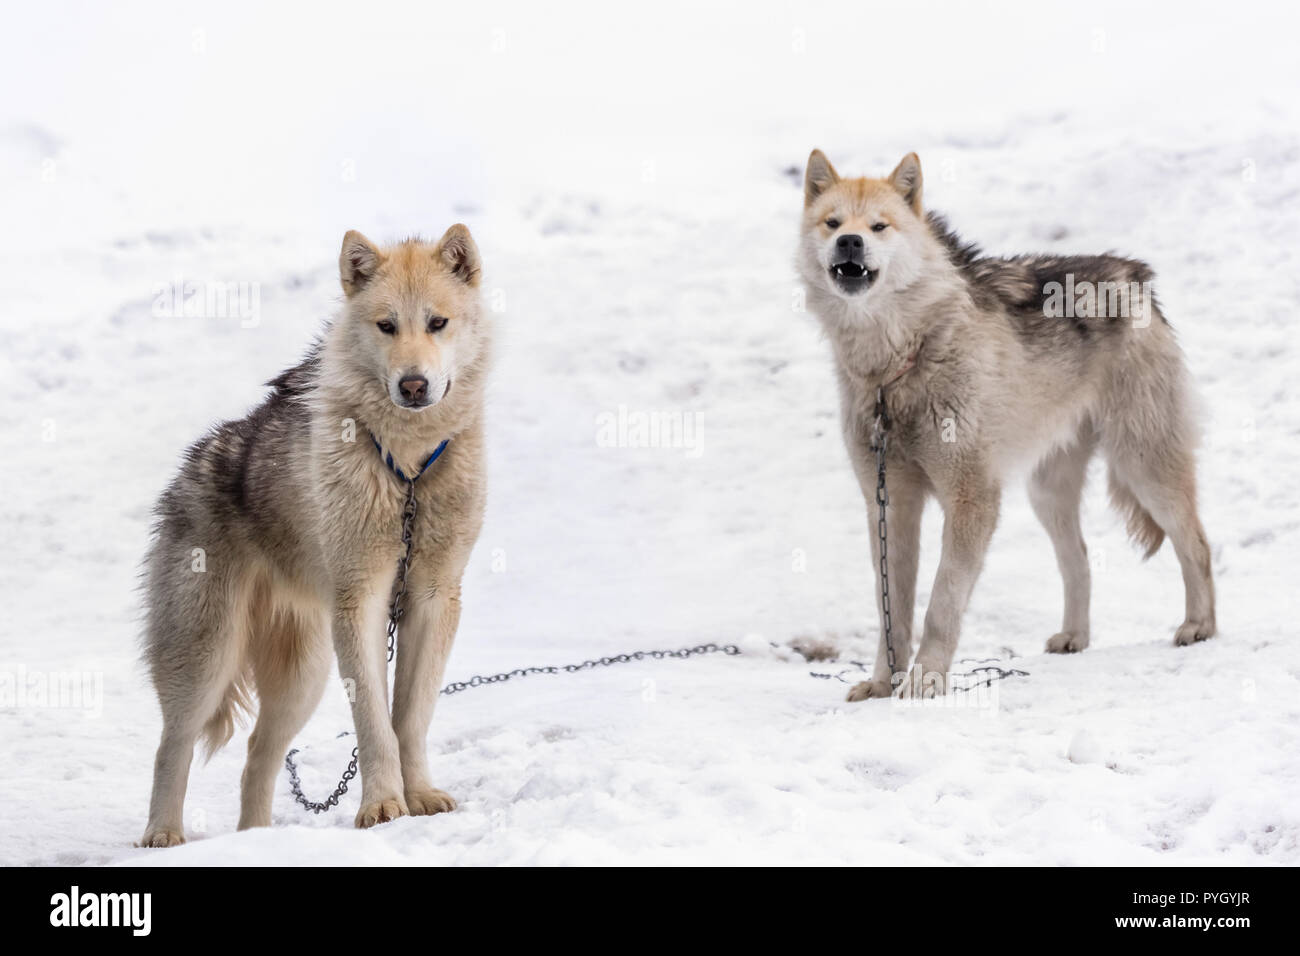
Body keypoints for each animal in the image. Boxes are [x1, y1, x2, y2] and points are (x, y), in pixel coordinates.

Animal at [139, 226, 488, 842]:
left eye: (438, 322)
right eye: (386, 325)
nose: (413, 385)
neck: (408, 473)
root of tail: (189, 466)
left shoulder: (434, 597)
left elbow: (411, 717)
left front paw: (420, 797)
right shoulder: (362, 601)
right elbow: (375, 723)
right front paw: (381, 808)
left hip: (304, 676)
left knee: (258, 754)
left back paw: (257, 841)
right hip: (208, 657)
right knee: (171, 745)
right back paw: (164, 839)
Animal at [795, 151, 1211, 702]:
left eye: (879, 227)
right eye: (833, 223)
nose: (850, 242)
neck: (899, 363)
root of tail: (1133, 276)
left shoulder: (972, 498)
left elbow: (941, 602)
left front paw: (926, 681)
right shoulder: (890, 505)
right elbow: (892, 611)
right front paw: (882, 684)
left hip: (1144, 468)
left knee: (1197, 543)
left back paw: (1200, 627)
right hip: (1047, 495)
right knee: (1079, 560)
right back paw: (1074, 638)